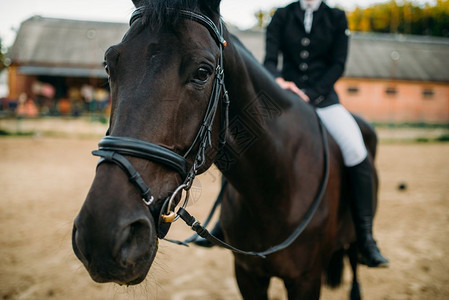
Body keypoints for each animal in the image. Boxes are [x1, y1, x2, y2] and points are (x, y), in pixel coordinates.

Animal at [71, 0, 378, 298]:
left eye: (202, 72)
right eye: (109, 65)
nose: (101, 237)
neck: (276, 186)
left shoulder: (305, 280)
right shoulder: (248, 274)